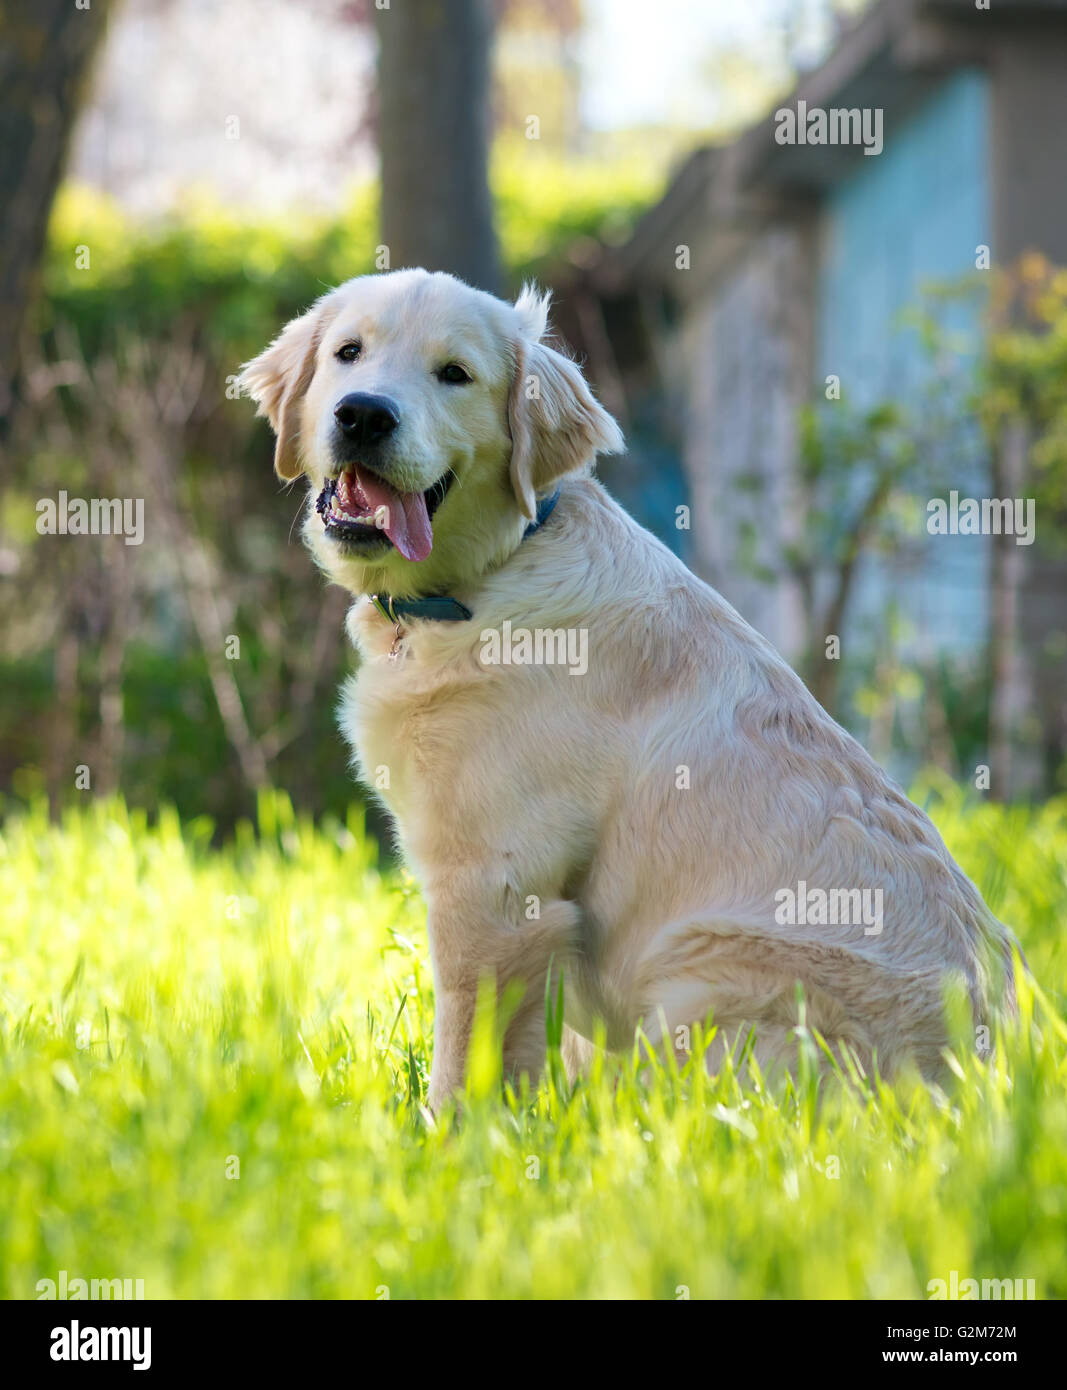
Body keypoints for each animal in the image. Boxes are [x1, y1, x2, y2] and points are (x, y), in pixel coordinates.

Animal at [241, 268, 1016, 1106]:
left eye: (454, 374)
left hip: (704, 974)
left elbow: (466, 1053)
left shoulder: (495, 889)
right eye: (349, 353)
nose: (363, 414)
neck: (483, 577)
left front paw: (448, 1131)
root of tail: (982, 1081)